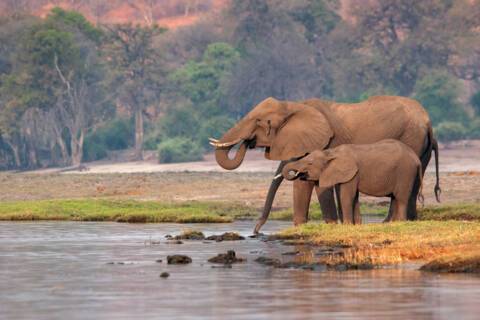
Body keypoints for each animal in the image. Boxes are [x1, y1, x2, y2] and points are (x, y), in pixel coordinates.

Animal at [282, 139, 424, 224]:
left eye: (310, 163)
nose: (298, 173)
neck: (330, 152)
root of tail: (416, 158)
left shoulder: (352, 173)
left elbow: (346, 196)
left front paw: (347, 225)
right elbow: (353, 197)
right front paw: (356, 225)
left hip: (405, 172)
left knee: (401, 198)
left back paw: (400, 222)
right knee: (399, 197)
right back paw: (392, 223)